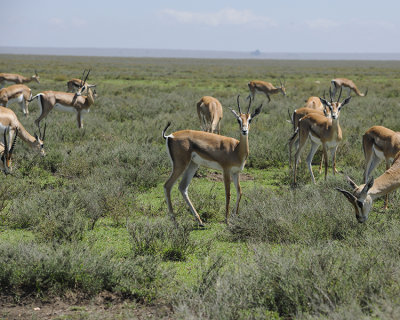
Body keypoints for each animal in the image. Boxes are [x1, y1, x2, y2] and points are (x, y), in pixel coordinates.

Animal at [162, 96, 262, 226]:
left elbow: (239, 192)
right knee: (167, 186)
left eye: (250, 120)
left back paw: (200, 221)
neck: (236, 149)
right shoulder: (226, 170)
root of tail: (169, 136)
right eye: (238, 120)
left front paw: (235, 216)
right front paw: (227, 220)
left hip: (193, 165)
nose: (244, 131)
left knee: (182, 187)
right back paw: (175, 222)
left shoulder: (236, 172)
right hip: (180, 165)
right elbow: (228, 193)